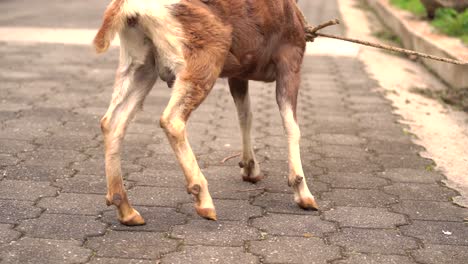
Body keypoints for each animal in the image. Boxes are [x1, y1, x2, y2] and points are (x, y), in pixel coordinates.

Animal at [93, 0, 316, 226]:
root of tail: (130, 7)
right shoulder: (290, 58)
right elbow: (291, 125)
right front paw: (303, 194)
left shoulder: (239, 74)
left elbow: (245, 115)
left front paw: (250, 169)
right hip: (204, 54)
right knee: (172, 120)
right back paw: (204, 200)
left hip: (140, 63)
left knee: (112, 122)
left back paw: (127, 210)